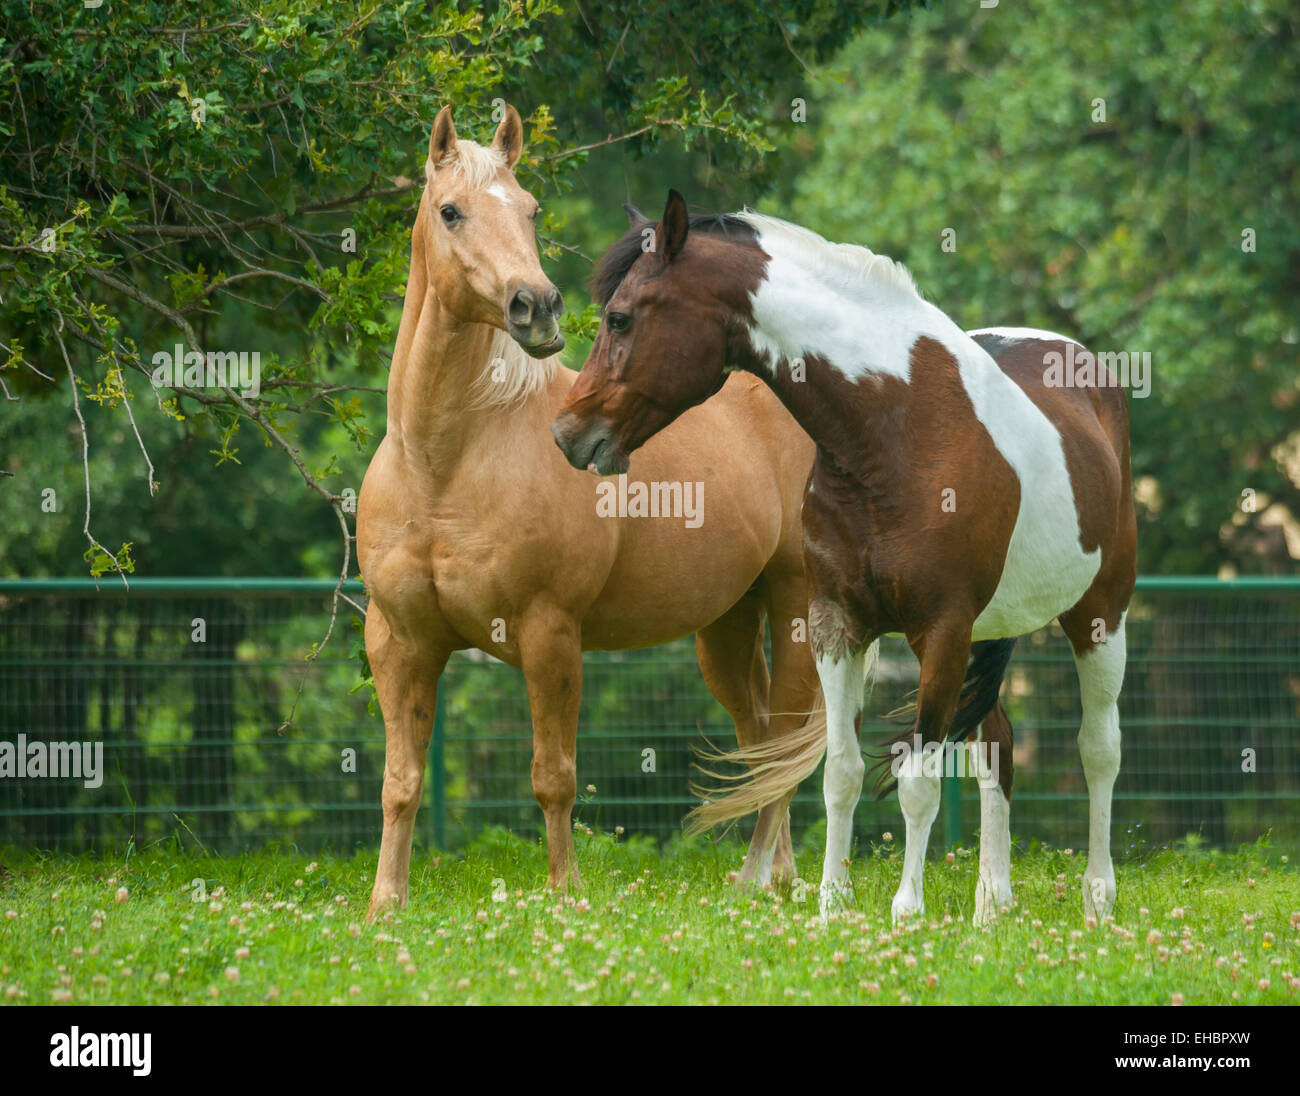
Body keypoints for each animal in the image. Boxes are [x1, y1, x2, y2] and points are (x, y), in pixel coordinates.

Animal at [356, 113, 821, 915]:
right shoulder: (399, 642)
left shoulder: (550, 635)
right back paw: (774, 874)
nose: (535, 305)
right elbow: (401, 781)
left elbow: (554, 777)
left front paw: (564, 892)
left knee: (786, 738)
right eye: (451, 211)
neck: (442, 466)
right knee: (762, 742)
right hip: (727, 627)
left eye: (531, 209)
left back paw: (761, 878)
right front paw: (386, 902)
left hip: (792, 605)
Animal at [553, 191, 1133, 925]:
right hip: (991, 631)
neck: (897, 430)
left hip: (1099, 616)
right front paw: (832, 903)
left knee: (1098, 749)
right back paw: (990, 905)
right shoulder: (837, 623)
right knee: (995, 747)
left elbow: (918, 781)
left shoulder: (941, 631)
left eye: (620, 316)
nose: (567, 434)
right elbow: (841, 772)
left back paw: (1098, 899)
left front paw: (906, 910)